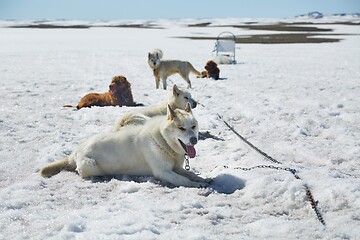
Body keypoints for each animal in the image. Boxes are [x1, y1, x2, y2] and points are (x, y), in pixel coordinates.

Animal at [39, 103, 210, 188]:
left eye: (193, 126)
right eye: (181, 128)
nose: (194, 140)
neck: (163, 140)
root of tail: (75, 152)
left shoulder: (177, 168)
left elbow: (191, 174)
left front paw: (202, 179)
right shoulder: (164, 172)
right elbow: (184, 181)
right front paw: (197, 185)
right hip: (91, 166)